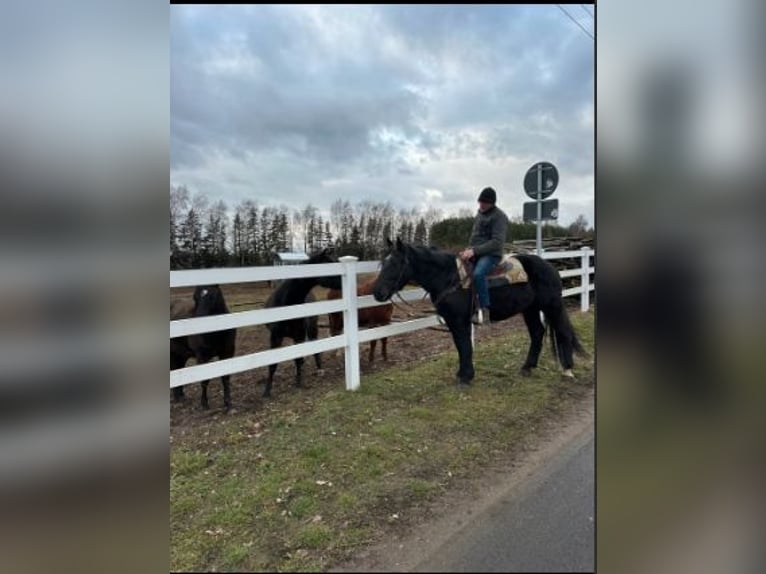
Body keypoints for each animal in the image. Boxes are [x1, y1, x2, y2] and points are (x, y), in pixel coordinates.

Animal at [264, 248, 342, 400]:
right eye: (329, 263)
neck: (286, 302)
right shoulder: (275, 337)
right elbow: (273, 364)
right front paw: (267, 391)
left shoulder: (298, 335)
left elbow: (298, 358)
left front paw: (299, 382)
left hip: (312, 329)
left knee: (315, 350)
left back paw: (319, 370)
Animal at [372, 238, 588, 388]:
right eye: (382, 263)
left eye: (396, 263)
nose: (377, 293)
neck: (449, 277)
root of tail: (550, 266)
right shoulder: (453, 321)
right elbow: (461, 346)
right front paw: (463, 374)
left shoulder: (460, 320)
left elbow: (465, 346)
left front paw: (466, 377)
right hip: (530, 309)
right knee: (537, 333)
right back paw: (527, 367)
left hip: (553, 305)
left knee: (563, 333)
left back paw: (567, 370)